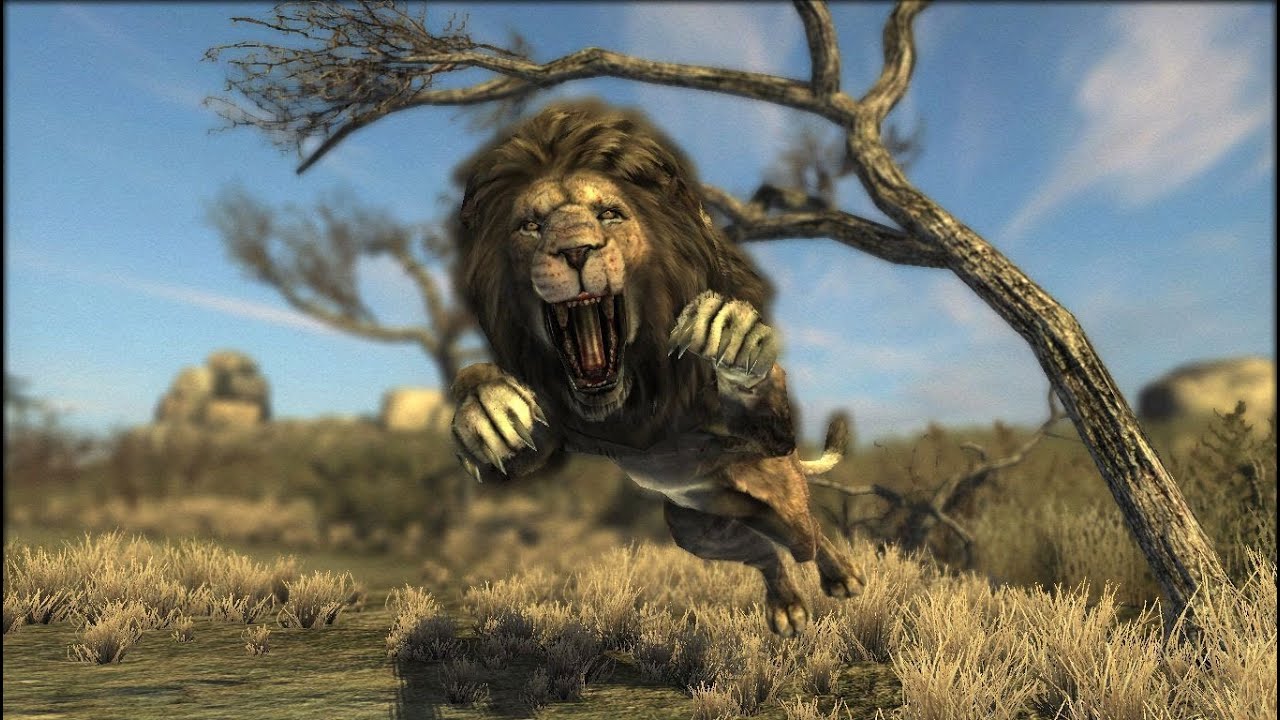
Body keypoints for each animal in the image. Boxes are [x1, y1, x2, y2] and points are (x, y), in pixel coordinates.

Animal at [449, 99, 863, 636]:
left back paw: (842, 576)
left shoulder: (746, 425)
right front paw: (486, 408)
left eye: (608, 214)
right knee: (769, 553)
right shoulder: (553, 427)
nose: (576, 250)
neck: (627, 399)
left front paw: (730, 335)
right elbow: (508, 436)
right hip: (700, 530)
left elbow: (760, 401)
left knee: (808, 533)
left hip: (781, 493)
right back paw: (787, 606)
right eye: (531, 226)